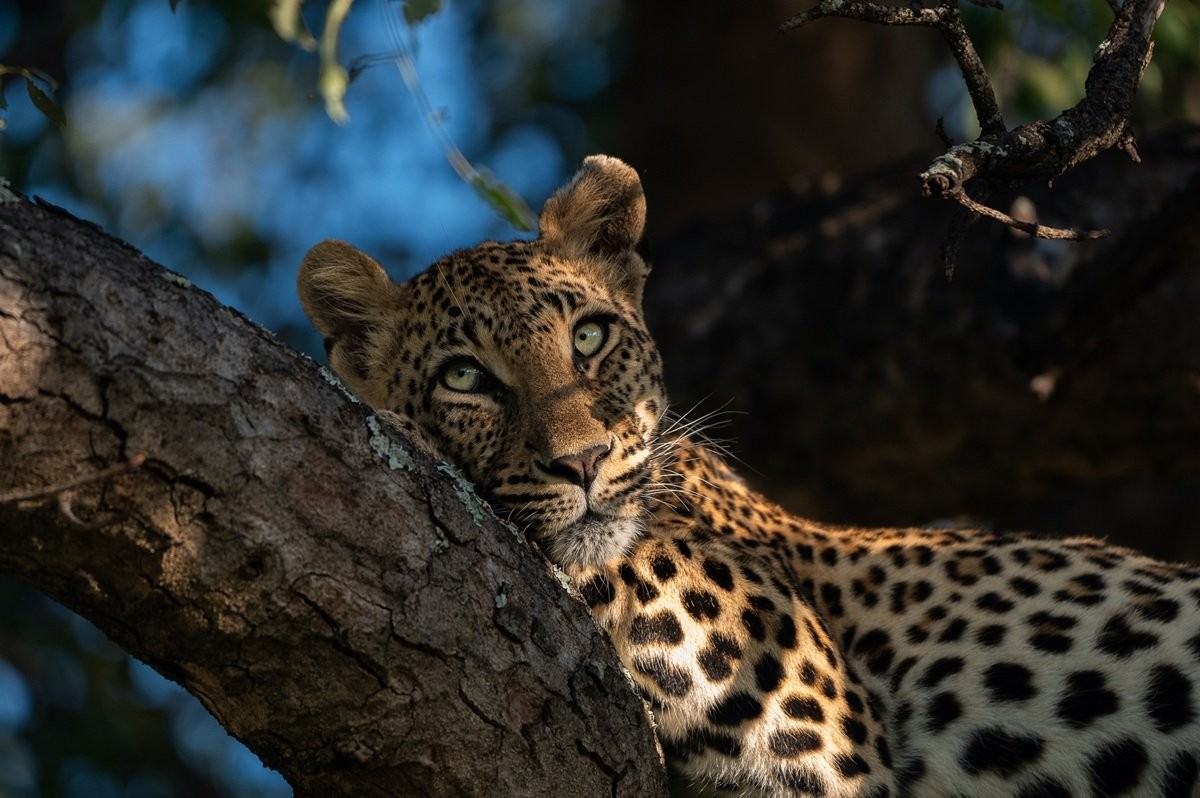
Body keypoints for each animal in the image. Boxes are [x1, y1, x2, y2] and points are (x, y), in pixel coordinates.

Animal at [298, 155, 1200, 797]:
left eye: (588, 338)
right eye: (464, 378)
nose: (582, 462)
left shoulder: (811, 703)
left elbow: (632, 555)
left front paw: (405, 434)